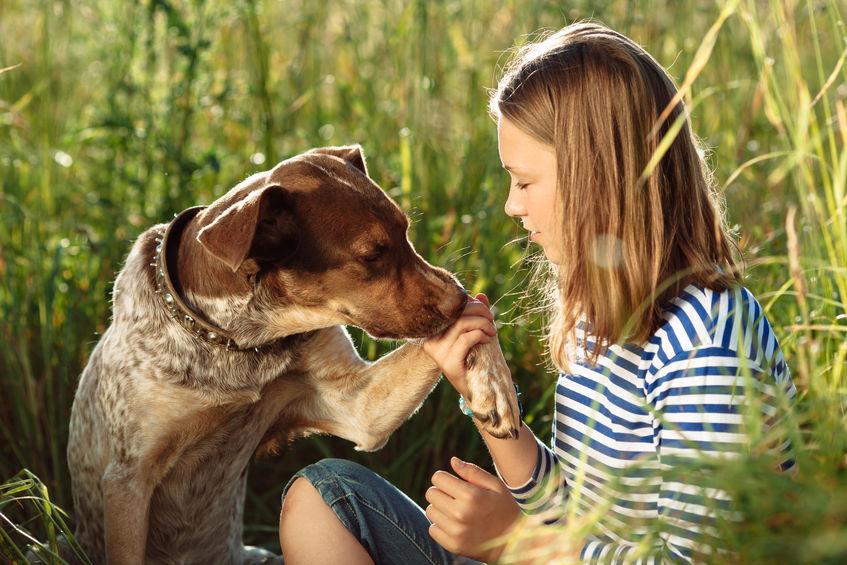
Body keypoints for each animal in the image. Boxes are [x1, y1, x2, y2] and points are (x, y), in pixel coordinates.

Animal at [66, 145, 520, 564]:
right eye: (372, 255)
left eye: (406, 231)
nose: (457, 298)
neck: (238, 342)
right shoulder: (128, 480)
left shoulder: (357, 409)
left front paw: (494, 388)